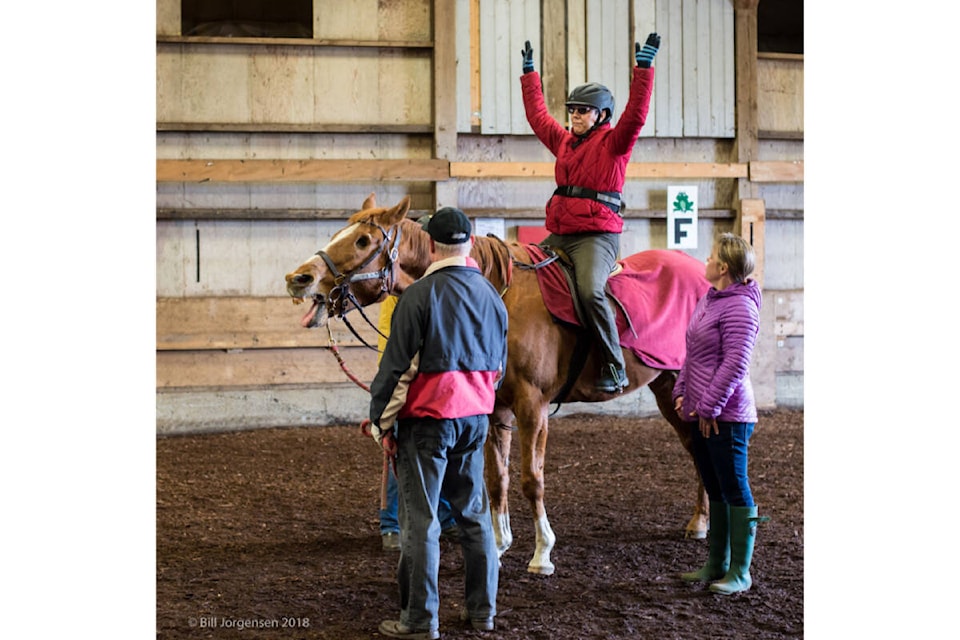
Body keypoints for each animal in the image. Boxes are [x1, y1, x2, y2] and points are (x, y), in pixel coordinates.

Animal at [284, 194, 712, 576]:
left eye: (362, 240)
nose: (298, 278)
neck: (493, 293)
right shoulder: (496, 409)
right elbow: (496, 479)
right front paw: (500, 544)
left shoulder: (533, 406)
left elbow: (531, 480)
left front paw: (542, 553)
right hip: (665, 388)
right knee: (696, 447)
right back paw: (700, 521)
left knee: (699, 448)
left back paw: (702, 522)